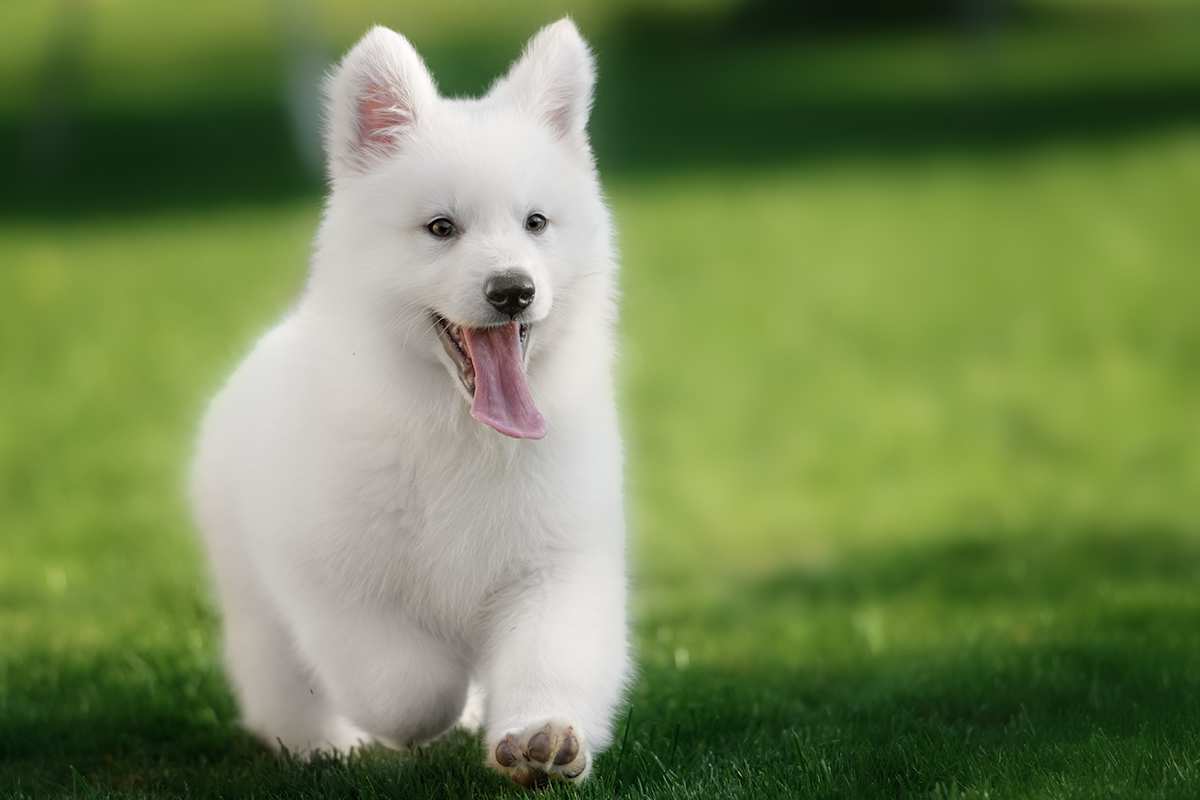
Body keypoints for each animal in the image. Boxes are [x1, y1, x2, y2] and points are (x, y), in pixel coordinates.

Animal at [187, 18, 628, 786]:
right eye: (441, 228)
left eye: (536, 222)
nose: (513, 289)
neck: (457, 428)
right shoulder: (333, 579)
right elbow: (407, 686)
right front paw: (436, 711)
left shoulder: (555, 561)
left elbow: (548, 657)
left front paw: (540, 738)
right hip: (252, 598)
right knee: (280, 682)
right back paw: (321, 744)